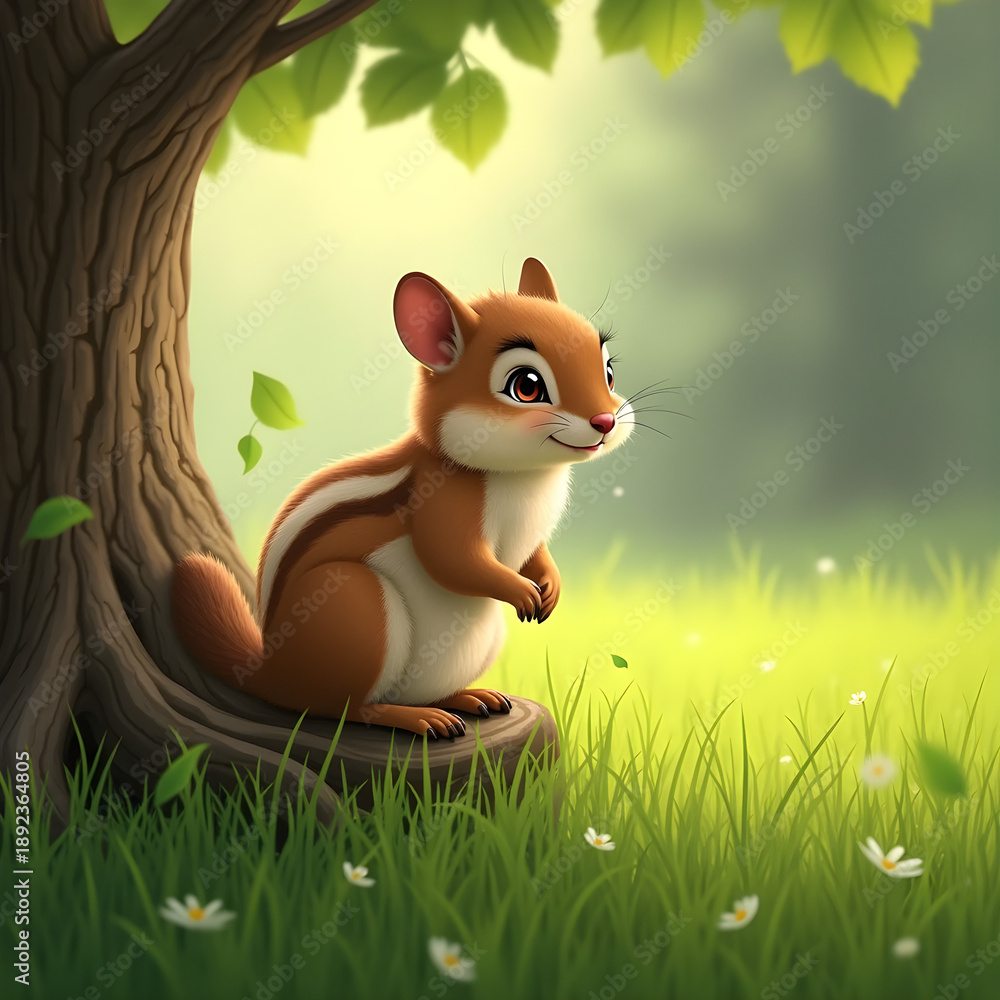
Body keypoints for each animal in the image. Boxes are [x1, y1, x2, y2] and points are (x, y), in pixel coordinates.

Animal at [172, 258, 634, 740]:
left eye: (608, 371)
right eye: (526, 386)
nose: (605, 421)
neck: (527, 475)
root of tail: (269, 670)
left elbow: (534, 553)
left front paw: (549, 585)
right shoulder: (440, 504)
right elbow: (454, 561)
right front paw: (522, 591)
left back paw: (469, 699)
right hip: (353, 603)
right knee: (343, 708)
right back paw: (416, 718)